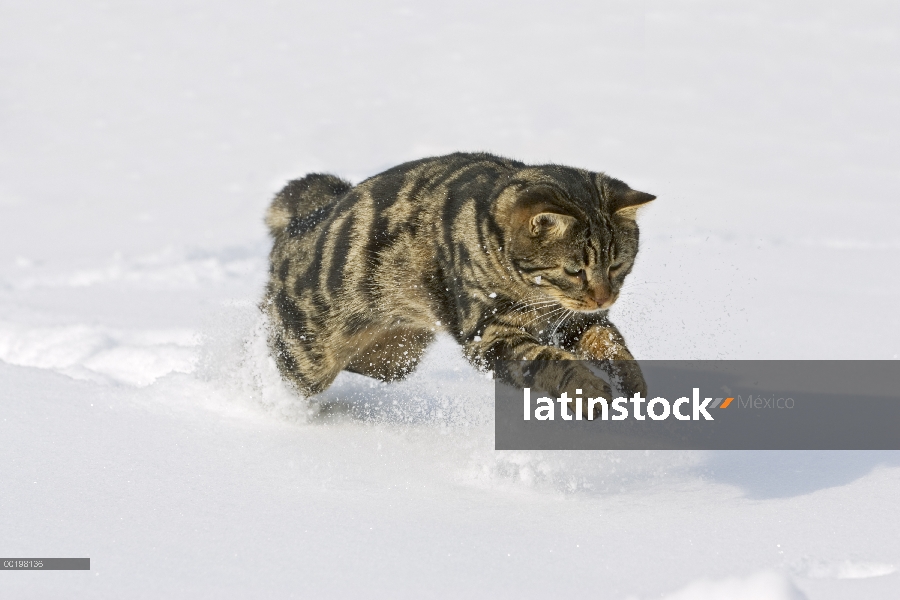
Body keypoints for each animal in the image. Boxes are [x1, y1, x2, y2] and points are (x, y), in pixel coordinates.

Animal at [260, 151, 652, 412]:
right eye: (574, 271)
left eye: (617, 265)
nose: (605, 298)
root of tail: (305, 218)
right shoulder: (488, 335)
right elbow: (550, 362)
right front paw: (589, 391)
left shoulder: (575, 322)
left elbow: (612, 346)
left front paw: (632, 385)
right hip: (305, 356)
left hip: (395, 359)